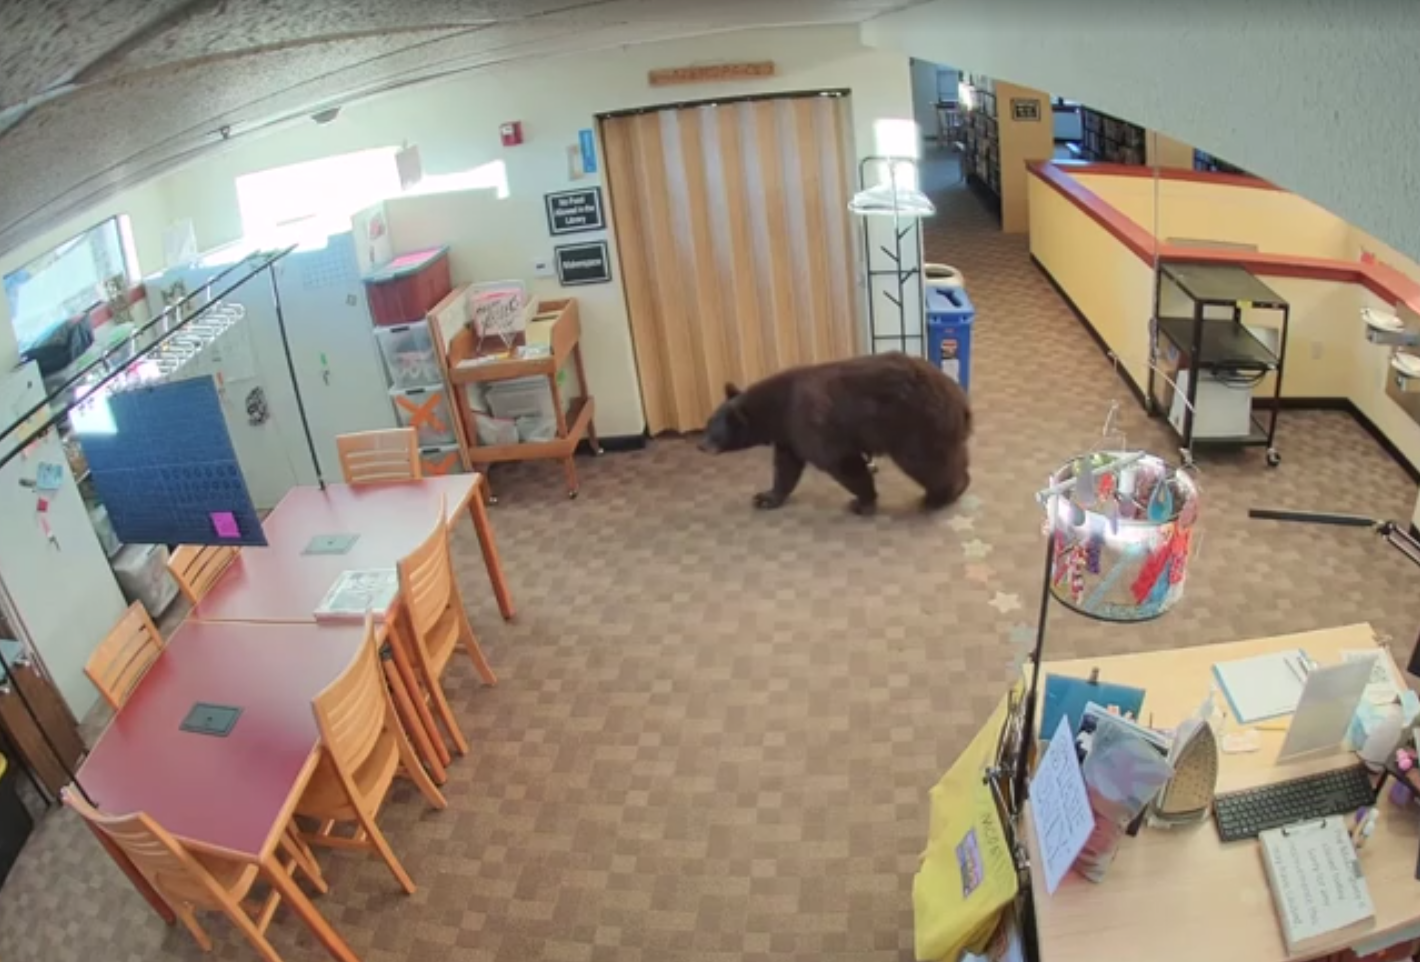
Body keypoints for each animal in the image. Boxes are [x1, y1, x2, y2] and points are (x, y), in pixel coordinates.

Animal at [698, 352, 972, 515]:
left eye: (712, 430)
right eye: (707, 422)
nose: (700, 445)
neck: (779, 409)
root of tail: (959, 399)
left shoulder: (810, 423)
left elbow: (840, 461)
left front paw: (862, 501)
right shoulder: (788, 435)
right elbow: (786, 467)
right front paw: (766, 497)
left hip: (915, 425)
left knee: (926, 463)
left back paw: (941, 496)